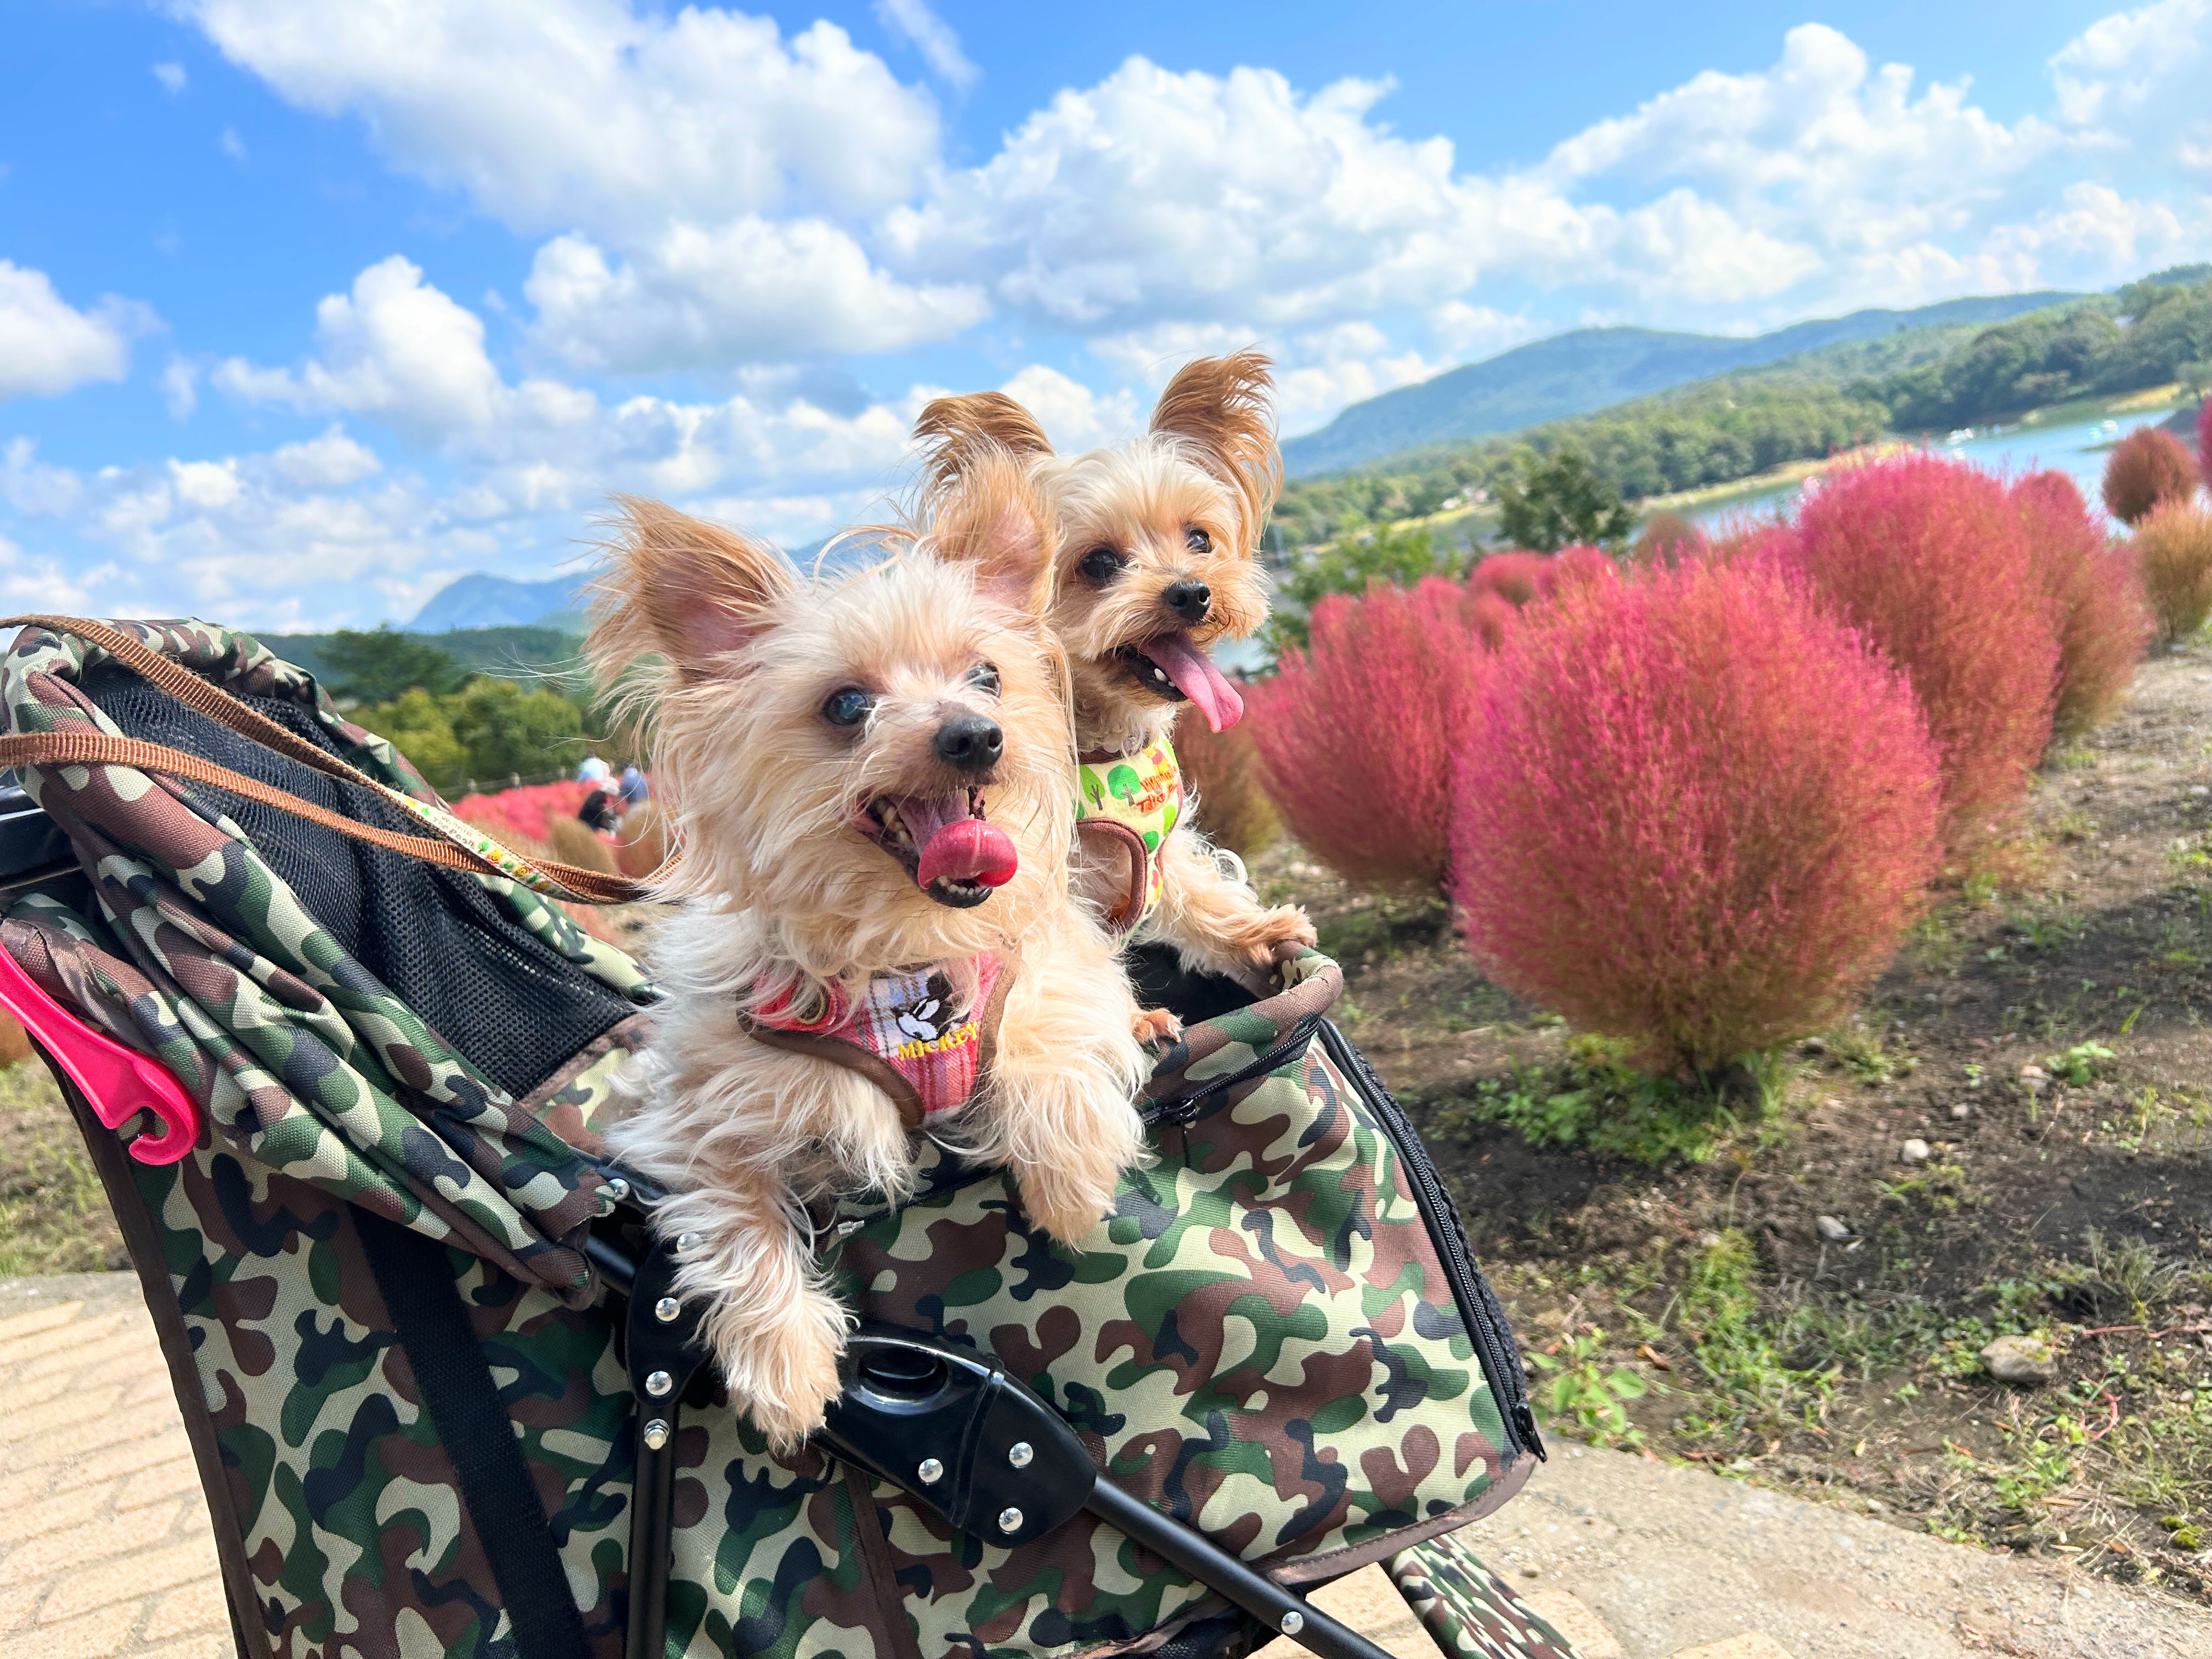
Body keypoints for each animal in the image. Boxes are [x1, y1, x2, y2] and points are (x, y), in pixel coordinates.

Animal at [588, 457, 1149, 1450]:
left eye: (987, 676)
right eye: (847, 705)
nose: (976, 733)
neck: (905, 947)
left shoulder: (1054, 961)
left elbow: (1049, 1029)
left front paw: (1071, 1184)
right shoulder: (689, 1122)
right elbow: (733, 1218)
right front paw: (785, 1370)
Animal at [911, 353, 1315, 1015]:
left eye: (1200, 539)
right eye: (1099, 563)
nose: (1192, 592)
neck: (1106, 747)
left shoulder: (1162, 849)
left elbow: (1197, 890)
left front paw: (1258, 937)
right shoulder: (1045, 882)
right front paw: (1137, 1025)